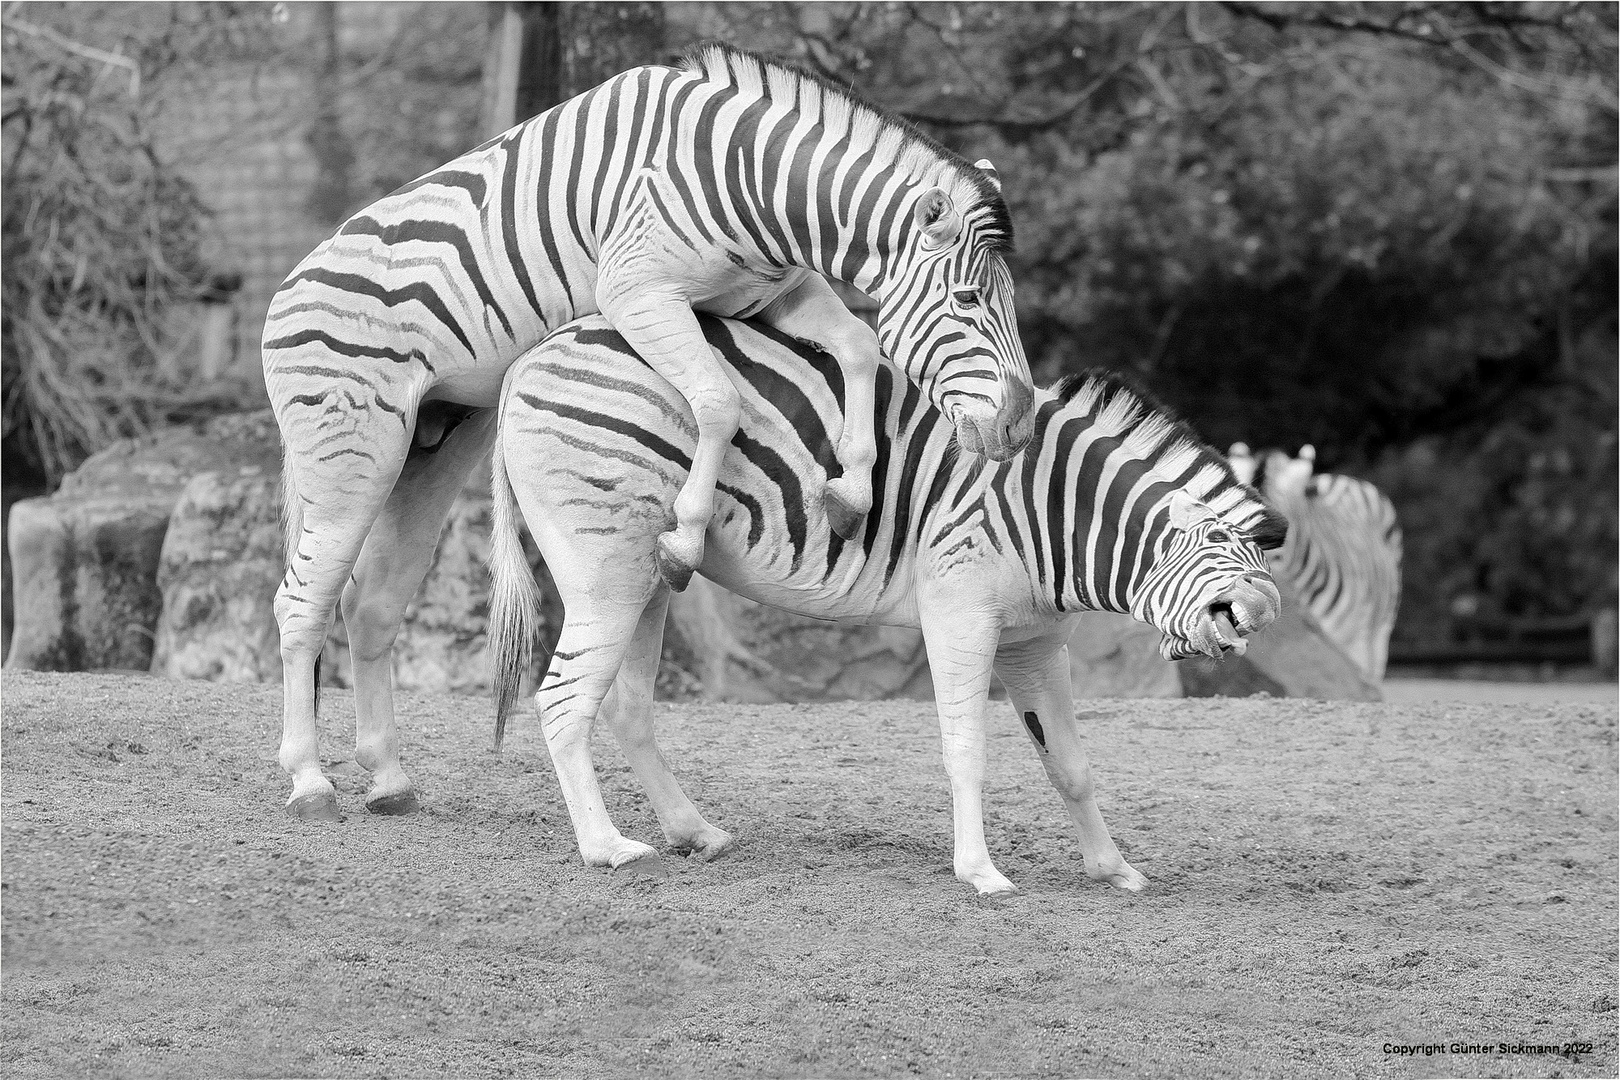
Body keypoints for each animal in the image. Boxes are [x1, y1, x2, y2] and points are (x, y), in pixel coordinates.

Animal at [259, 40, 1030, 819]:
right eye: (968, 299)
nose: (1019, 423)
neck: (749, 182)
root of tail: (287, 285)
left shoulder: (771, 296)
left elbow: (861, 345)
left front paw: (850, 490)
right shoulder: (638, 294)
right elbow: (718, 402)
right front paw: (684, 537)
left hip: (427, 455)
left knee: (369, 606)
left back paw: (388, 778)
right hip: (353, 452)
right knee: (300, 604)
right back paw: (309, 780)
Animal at [486, 317, 1283, 900]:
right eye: (1219, 543)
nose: (1267, 608)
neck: (1052, 512)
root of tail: (529, 360)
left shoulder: (1034, 641)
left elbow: (1070, 763)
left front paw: (1114, 869)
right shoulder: (962, 613)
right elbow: (967, 749)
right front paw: (981, 873)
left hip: (653, 578)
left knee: (625, 708)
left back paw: (695, 834)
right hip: (606, 569)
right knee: (562, 701)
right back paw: (607, 849)